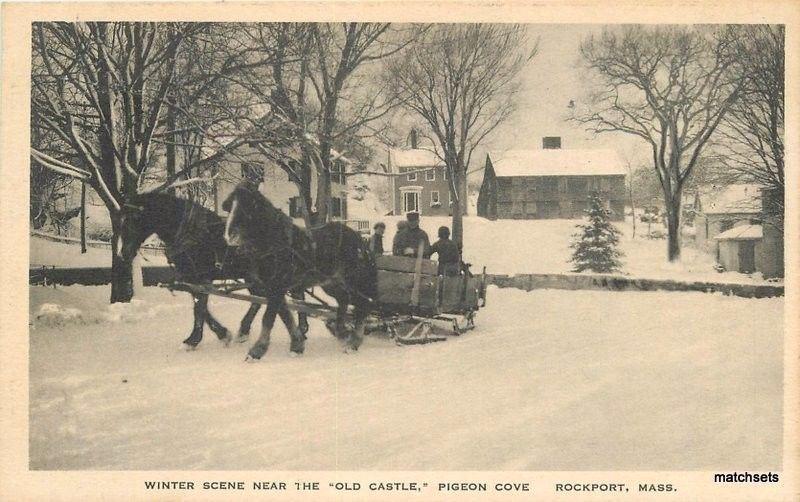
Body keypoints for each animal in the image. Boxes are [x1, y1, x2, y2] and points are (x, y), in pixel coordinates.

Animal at [115, 191, 310, 350]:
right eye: (121, 220)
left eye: (135, 218)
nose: (123, 253)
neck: (190, 234)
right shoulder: (193, 279)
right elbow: (201, 307)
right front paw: (221, 334)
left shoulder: (202, 278)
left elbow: (199, 308)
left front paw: (195, 340)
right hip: (254, 275)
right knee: (264, 297)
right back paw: (248, 330)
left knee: (288, 295)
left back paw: (297, 328)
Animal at [222, 183, 378, 360]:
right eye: (229, 207)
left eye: (248, 208)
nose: (229, 236)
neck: (276, 244)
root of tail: (360, 241)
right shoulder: (273, 288)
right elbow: (286, 316)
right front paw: (297, 345)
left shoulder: (277, 287)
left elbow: (268, 318)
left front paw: (257, 351)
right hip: (331, 284)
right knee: (345, 301)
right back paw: (343, 333)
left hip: (352, 282)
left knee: (363, 305)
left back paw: (354, 341)